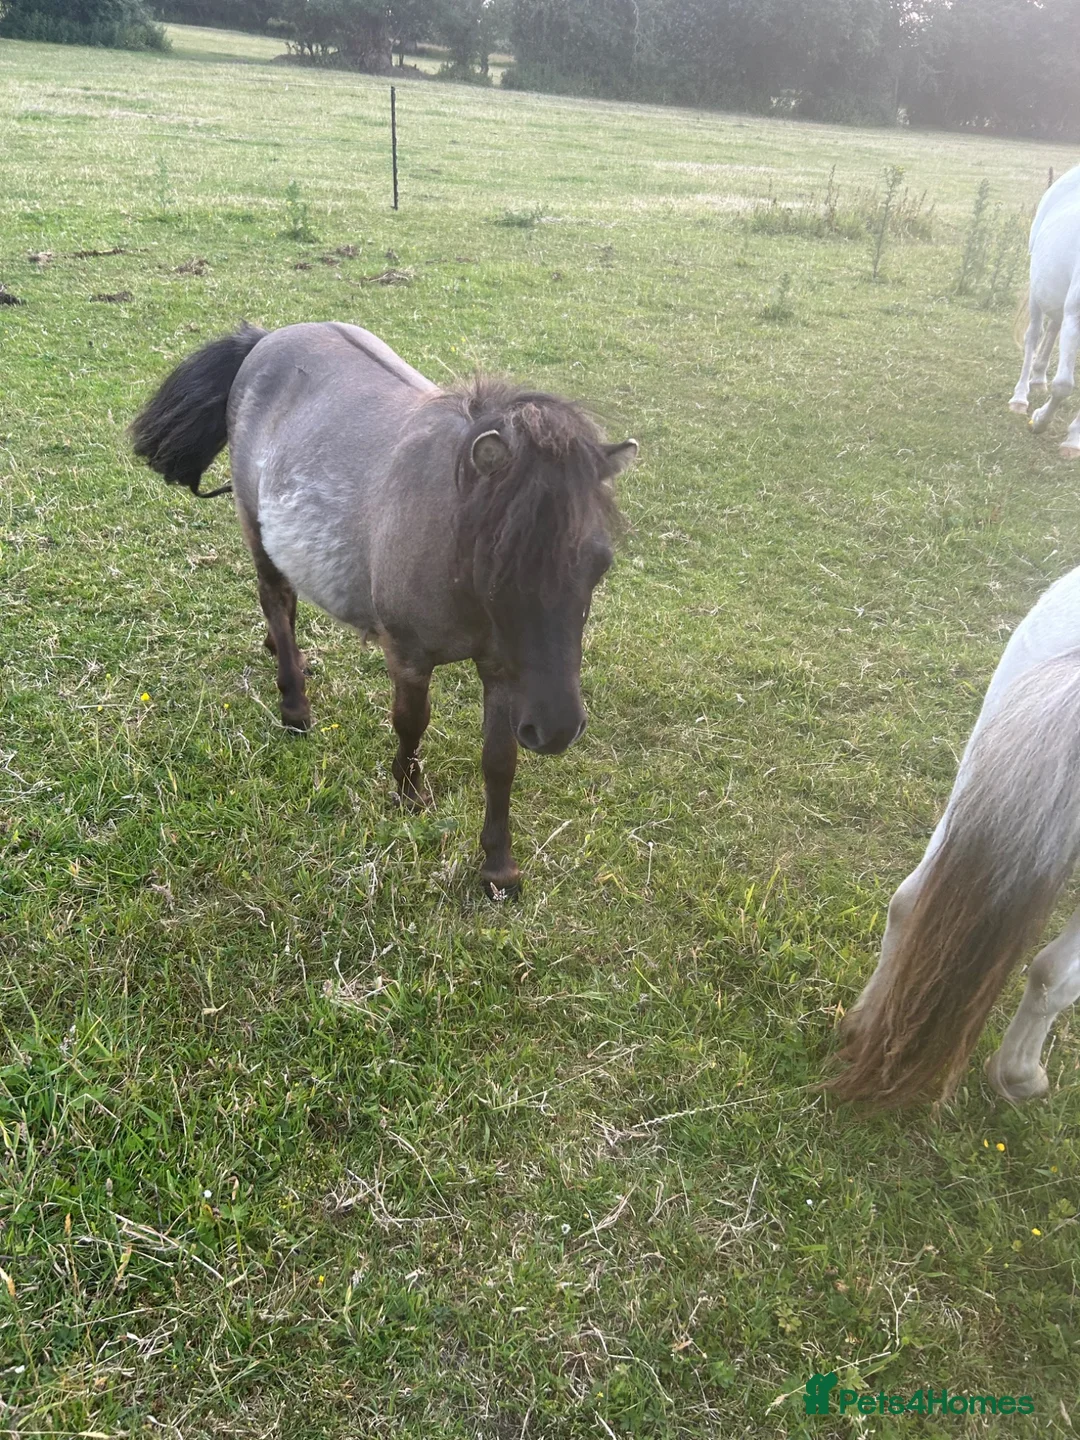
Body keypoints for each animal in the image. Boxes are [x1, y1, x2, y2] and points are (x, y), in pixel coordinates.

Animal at [130, 321, 638, 897]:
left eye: (600, 564)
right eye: (498, 567)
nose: (556, 730)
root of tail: (264, 340)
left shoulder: (504, 671)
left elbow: (499, 760)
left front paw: (498, 867)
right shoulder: (410, 657)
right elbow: (411, 723)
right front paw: (408, 793)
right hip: (252, 524)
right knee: (275, 598)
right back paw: (294, 706)